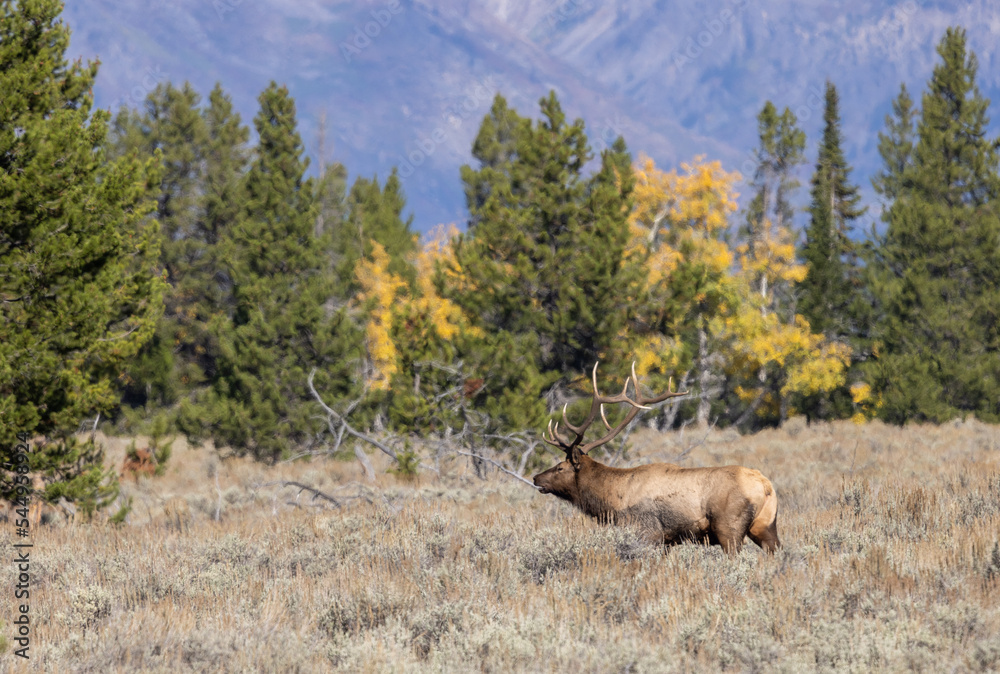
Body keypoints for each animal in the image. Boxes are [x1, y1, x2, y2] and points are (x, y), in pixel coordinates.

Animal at [533, 362, 780, 554]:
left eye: (560, 467)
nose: (536, 478)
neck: (612, 500)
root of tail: (766, 486)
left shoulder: (648, 532)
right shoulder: (667, 541)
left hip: (729, 527)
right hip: (765, 524)